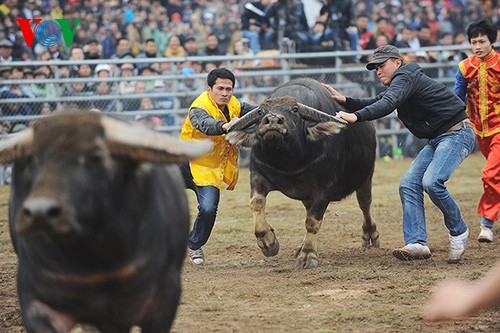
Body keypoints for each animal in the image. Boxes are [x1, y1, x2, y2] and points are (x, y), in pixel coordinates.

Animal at [228, 77, 378, 268]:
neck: (289, 163)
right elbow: (256, 203)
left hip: (366, 177)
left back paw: (370, 235)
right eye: (261, 112)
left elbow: (313, 221)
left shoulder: (325, 188)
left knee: (364, 203)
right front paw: (268, 242)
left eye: (295, 110)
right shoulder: (258, 174)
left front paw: (308, 255)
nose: (273, 120)